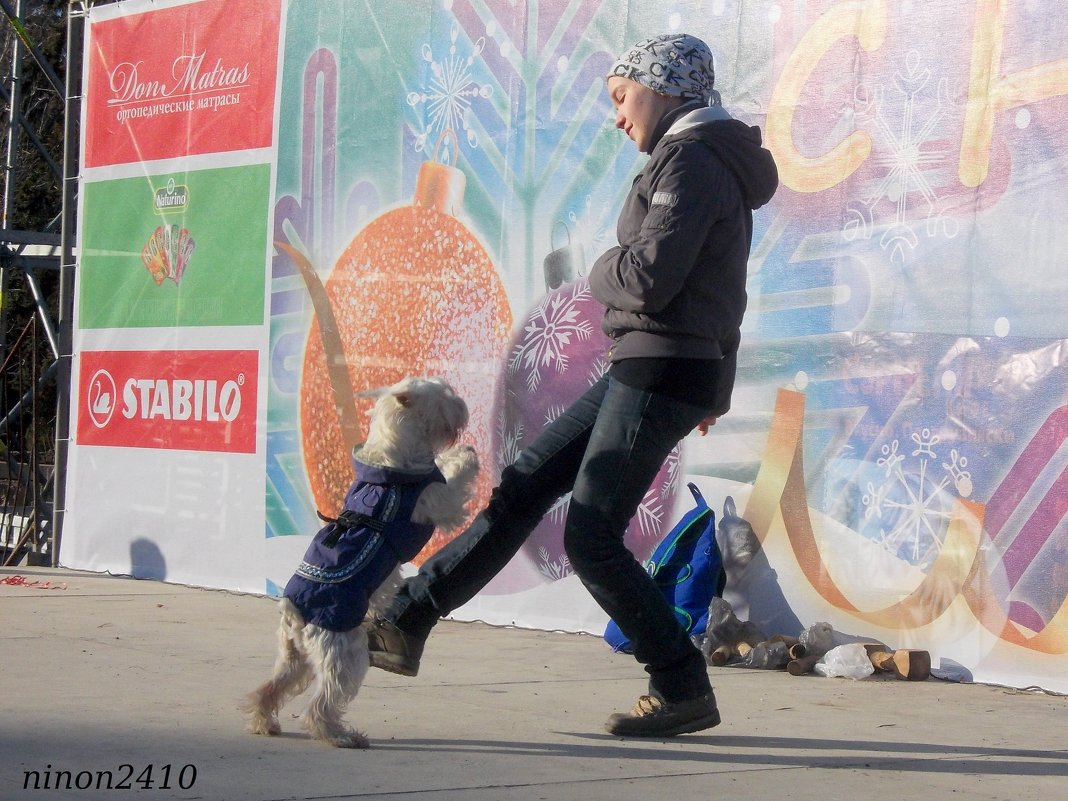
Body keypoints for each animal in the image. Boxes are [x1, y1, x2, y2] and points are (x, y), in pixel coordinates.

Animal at [244, 380, 478, 751]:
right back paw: (341, 736)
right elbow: (452, 487)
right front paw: (467, 456)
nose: (463, 405)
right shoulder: (438, 502)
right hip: (345, 655)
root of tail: (295, 613)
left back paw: (264, 724)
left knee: (268, 690)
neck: (394, 463)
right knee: (320, 704)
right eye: (443, 394)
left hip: (295, 659)